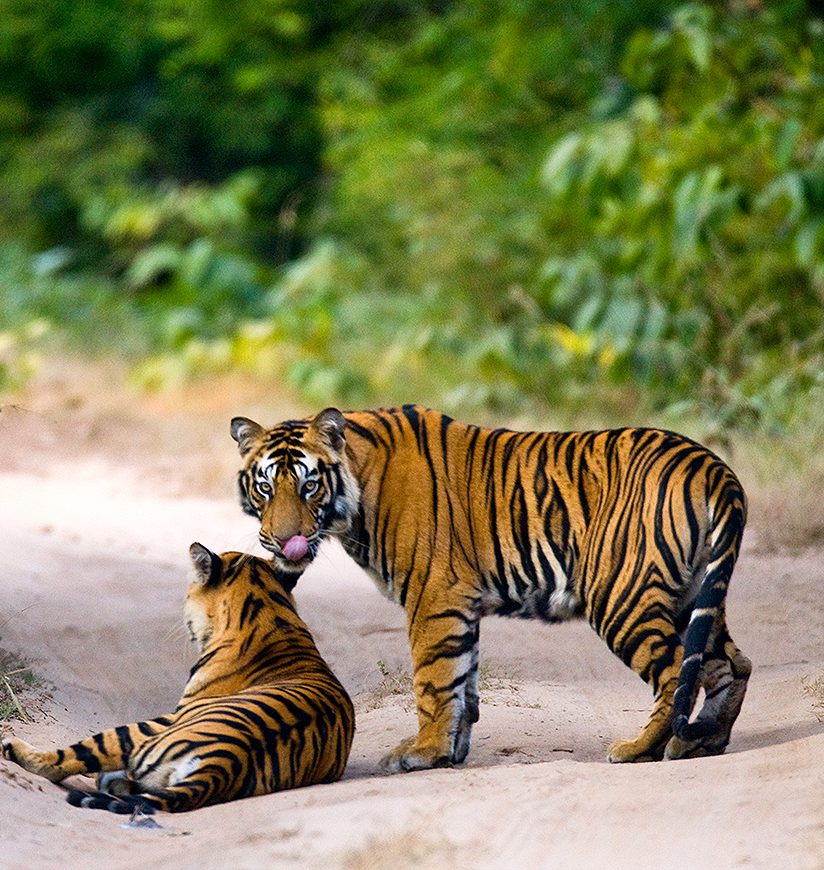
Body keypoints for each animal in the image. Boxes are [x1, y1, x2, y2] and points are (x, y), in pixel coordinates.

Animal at [0, 548, 354, 816]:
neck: (272, 612)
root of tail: (223, 763)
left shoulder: (171, 714)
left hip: (139, 731)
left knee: (64, 761)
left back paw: (15, 748)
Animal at [232, 408, 752, 776]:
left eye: (309, 486)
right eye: (265, 488)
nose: (283, 541)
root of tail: (710, 465)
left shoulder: (433, 595)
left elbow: (433, 677)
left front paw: (423, 751)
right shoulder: (459, 604)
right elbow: (463, 677)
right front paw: (451, 749)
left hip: (620, 595)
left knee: (675, 672)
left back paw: (639, 748)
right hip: (694, 593)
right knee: (731, 664)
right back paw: (701, 740)